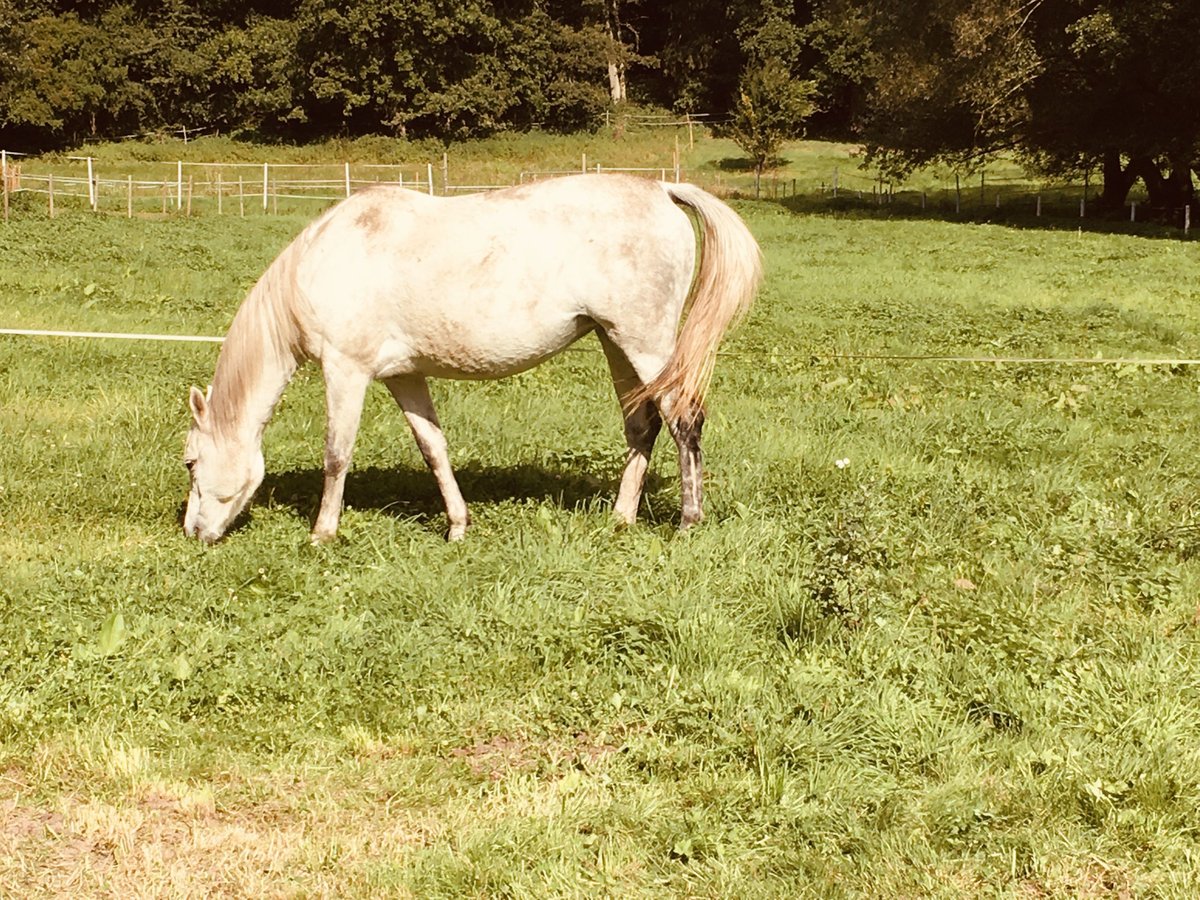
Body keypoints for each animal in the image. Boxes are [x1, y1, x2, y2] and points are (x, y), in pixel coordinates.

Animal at [182, 174, 763, 542]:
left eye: (190, 461)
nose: (193, 531)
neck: (328, 256)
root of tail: (662, 190)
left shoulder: (346, 370)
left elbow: (336, 454)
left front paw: (323, 533)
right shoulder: (404, 377)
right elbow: (433, 448)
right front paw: (457, 526)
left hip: (646, 342)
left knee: (684, 419)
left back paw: (688, 520)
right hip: (615, 342)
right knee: (643, 425)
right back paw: (621, 518)